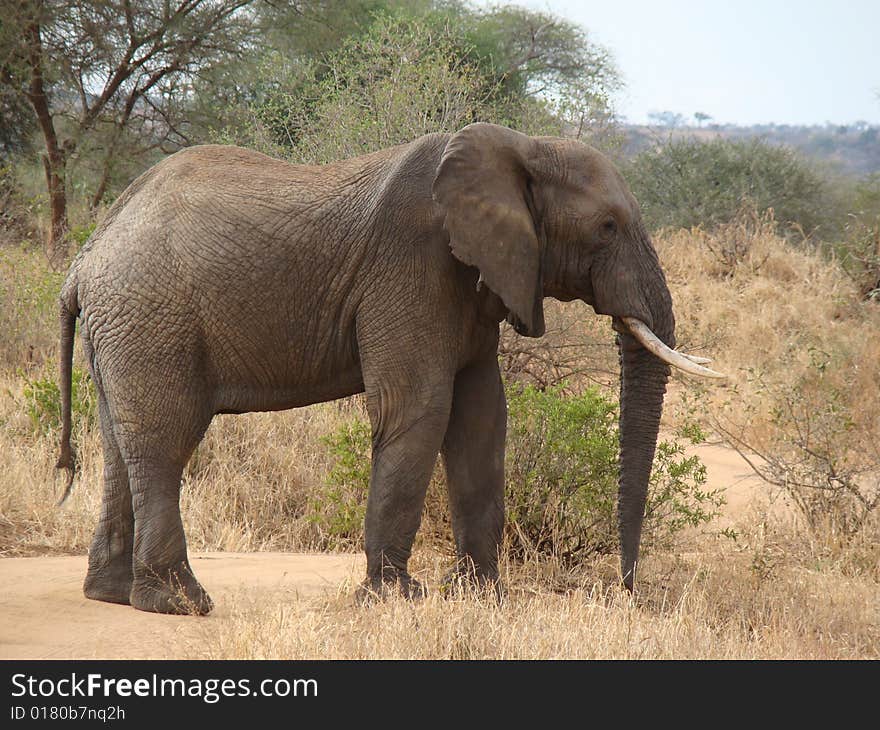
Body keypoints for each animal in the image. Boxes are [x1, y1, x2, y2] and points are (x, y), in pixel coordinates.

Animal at [58, 122, 724, 612]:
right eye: (607, 228)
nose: (627, 592)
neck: (520, 147)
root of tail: (85, 259)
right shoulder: (414, 266)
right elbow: (421, 409)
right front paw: (397, 599)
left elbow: (482, 421)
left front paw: (480, 598)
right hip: (150, 317)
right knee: (165, 440)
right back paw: (179, 602)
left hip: (120, 328)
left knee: (118, 441)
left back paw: (111, 595)